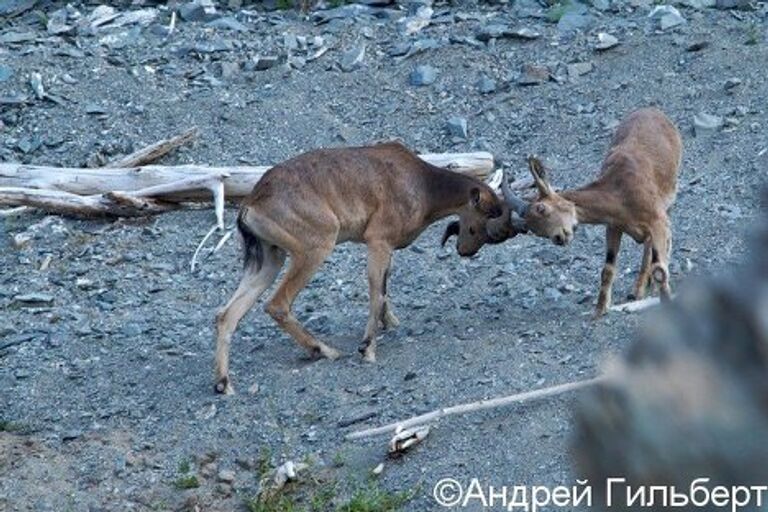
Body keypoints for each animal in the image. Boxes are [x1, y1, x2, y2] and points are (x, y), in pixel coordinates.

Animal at [214, 140, 520, 392]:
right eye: (487, 216)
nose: (465, 250)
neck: (422, 183)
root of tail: (251, 206)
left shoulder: (385, 248)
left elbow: (384, 289)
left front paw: (389, 325)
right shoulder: (378, 241)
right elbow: (376, 293)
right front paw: (367, 348)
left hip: (268, 260)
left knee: (226, 314)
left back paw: (223, 383)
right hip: (314, 248)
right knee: (277, 304)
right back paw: (325, 350)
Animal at [498, 108, 684, 316]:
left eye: (541, 208)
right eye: (535, 230)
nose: (559, 238)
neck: (619, 193)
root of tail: (652, 110)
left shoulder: (656, 220)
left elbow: (660, 269)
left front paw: (666, 301)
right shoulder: (614, 226)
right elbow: (608, 269)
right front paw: (599, 311)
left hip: (671, 196)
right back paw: (638, 290)